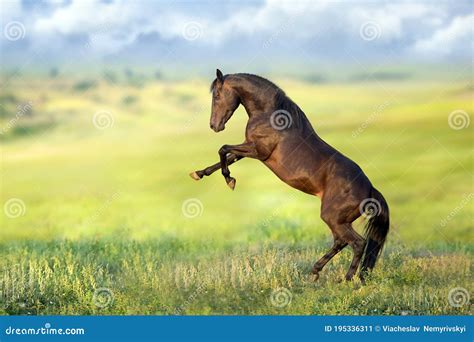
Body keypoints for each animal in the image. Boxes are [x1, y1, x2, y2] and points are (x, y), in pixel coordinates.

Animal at [189, 69, 388, 280]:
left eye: (217, 95)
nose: (214, 125)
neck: (269, 115)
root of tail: (370, 190)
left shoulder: (258, 151)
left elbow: (223, 149)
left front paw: (229, 180)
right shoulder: (249, 148)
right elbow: (226, 157)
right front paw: (199, 173)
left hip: (333, 217)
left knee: (357, 243)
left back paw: (346, 279)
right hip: (339, 221)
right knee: (341, 242)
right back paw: (315, 272)